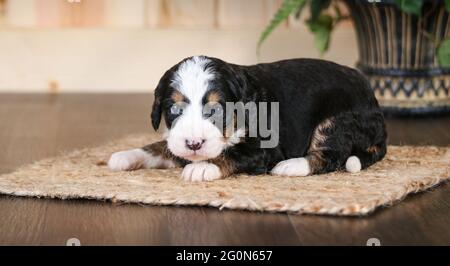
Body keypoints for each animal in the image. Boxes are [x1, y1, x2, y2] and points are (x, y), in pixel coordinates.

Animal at [109, 55, 386, 182]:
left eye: (216, 110)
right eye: (174, 110)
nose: (194, 144)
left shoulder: (264, 148)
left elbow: (233, 153)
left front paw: (202, 167)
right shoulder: (176, 142)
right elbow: (160, 147)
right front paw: (125, 155)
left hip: (336, 121)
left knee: (331, 156)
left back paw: (292, 166)